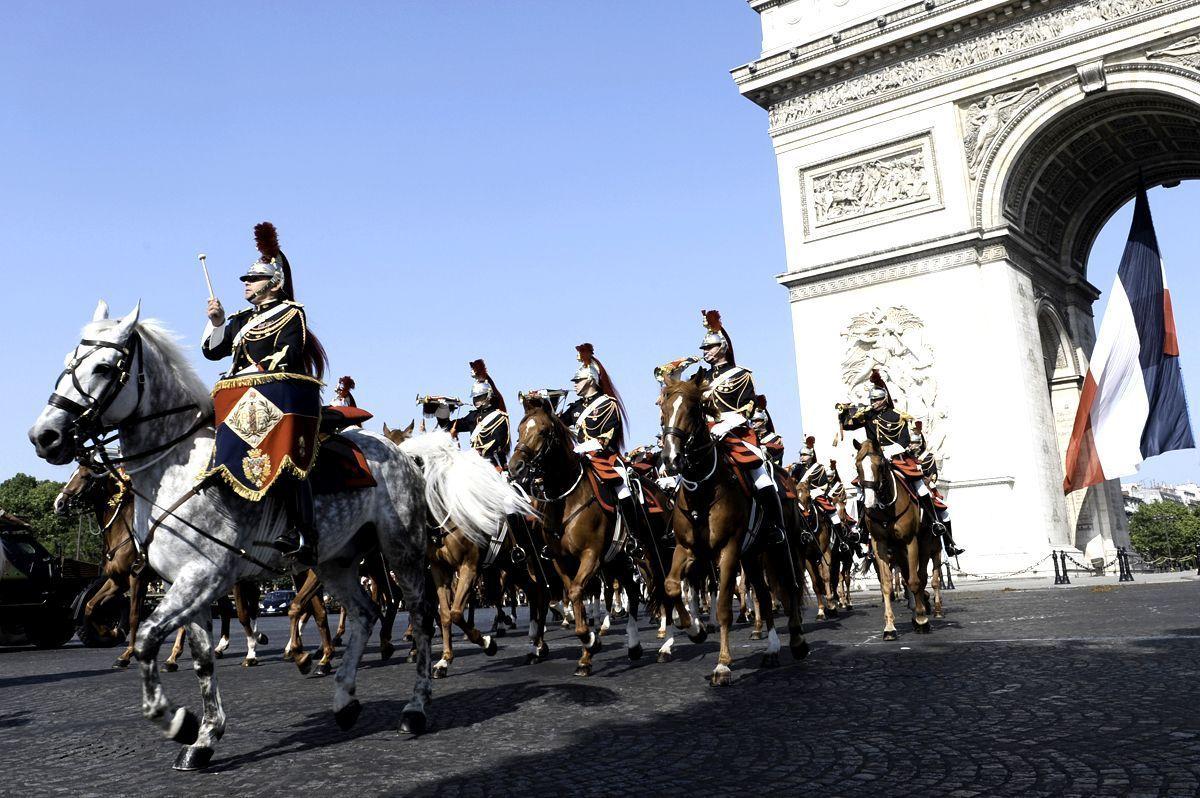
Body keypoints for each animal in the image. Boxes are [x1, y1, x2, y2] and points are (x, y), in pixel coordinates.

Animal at [25, 302, 501, 768]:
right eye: (68, 362)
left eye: (105, 367)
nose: (43, 436)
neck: (176, 468)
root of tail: (405, 454)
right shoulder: (188, 584)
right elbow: (201, 661)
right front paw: (204, 738)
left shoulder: (204, 576)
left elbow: (145, 638)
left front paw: (175, 720)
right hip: (335, 561)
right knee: (365, 613)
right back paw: (345, 699)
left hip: (401, 552)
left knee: (421, 616)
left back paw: (415, 706)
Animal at [508, 396, 657, 672]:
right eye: (520, 430)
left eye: (543, 431)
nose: (515, 467)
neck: (566, 500)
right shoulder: (560, 561)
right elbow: (572, 593)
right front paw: (586, 652)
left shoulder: (591, 555)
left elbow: (578, 592)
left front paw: (590, 639)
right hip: (616, 561)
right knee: (630, 590)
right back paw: (633, 645)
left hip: (641, 557)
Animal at [657, 376, 806, 681]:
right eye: (663, 410)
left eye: (693, 410)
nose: (671, 459)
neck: (702, 491)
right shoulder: (686, 549)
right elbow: (671, 586)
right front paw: (695, 630)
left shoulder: (728, 550)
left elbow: (725, 605)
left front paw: (722, 664)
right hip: (752, 555)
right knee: (764, 593)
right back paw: (772, 649)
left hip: (782, 547)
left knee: (789, 585)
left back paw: (797, 641)